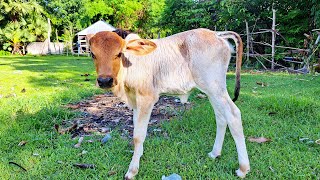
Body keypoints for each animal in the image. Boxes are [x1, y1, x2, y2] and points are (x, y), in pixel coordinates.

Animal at [89, 28, 251, 179]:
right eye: (92, 54)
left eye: (119, 53)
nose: (104, 81)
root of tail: (216, 34)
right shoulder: (135, 101)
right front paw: (139, 154)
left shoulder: (147, 98)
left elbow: (138, 135)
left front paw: (132, 170)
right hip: (212, 90)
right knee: (221, 117)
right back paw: (215, 153)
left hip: (214, 87)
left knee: (233, 115)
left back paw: (243, 168)